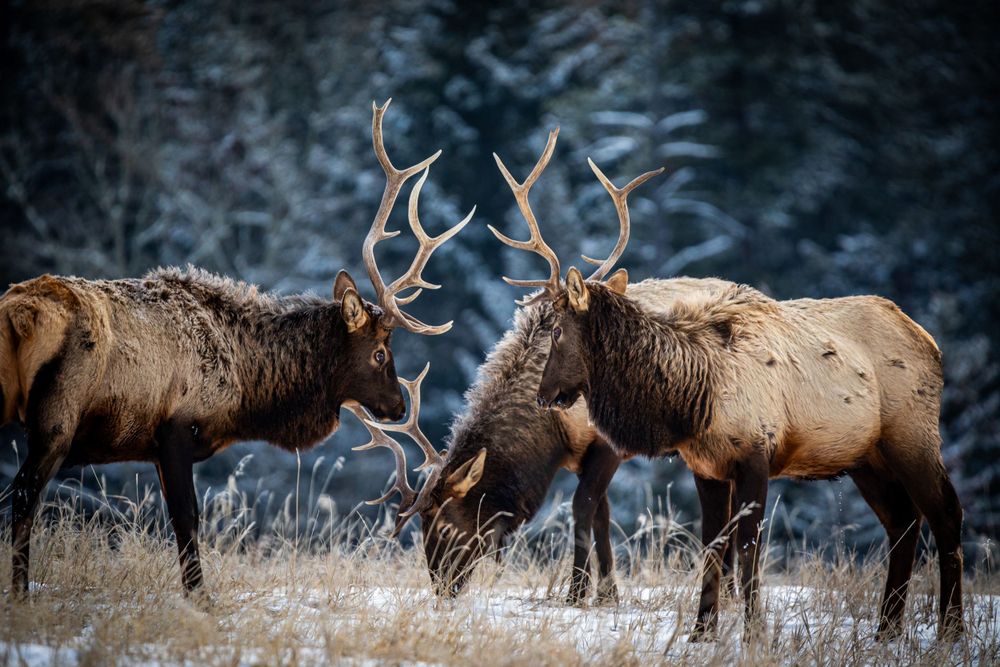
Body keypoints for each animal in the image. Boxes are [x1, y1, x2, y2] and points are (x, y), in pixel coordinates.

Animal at [0, 99, 473, 597]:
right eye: (381, 353)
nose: (398, 405)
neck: (246, 395)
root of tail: (18, 312)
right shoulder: (175, 429)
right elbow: (187, 519)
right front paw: (199, 597)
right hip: (58, 414)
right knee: (25, 494)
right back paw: (21, 593)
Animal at [492, 128, 965, 641]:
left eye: (556, 330)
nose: (544, 395)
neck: (692, 399)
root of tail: (932, 343)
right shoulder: (706, 466)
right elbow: (714, 545)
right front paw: (702, 630)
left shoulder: (757, 453)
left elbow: (749, 547)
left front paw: (754, 629)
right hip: (865, 455)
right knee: (902, 521)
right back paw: (887, 628)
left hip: (912, 434)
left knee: (945, 513)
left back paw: (952, 628)